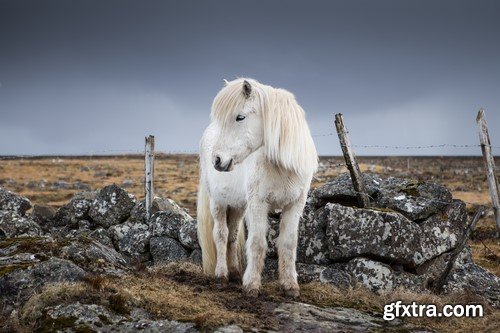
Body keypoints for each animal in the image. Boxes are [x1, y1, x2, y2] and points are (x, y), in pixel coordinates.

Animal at [197, 78, 318, 296]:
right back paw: (221, 275)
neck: (281, 166)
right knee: (221, 235)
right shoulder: (258, 204)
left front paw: (290, 286)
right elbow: (257, 243)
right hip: (218, 203)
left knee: (232, 236)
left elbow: (288, 243)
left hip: (238, 206)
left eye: (240, 117)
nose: (217, 160)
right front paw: (252, 285)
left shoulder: (295, 205)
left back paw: (235, 273)